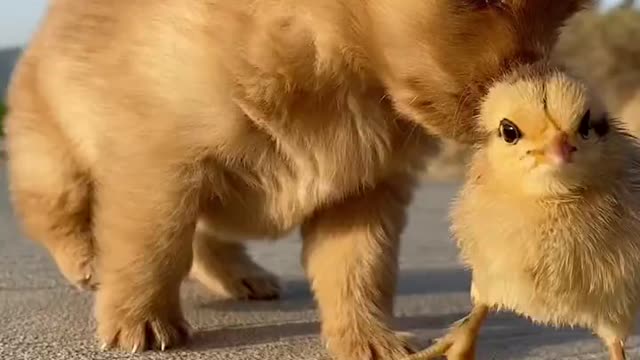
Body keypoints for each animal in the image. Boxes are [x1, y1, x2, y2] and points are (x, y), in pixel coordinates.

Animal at [5, 1, 592, 358]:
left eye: (564, 12)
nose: (530, 95)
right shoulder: (161, 162)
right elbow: (151, 247)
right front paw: (140, 320)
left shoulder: (365, 192)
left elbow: (359, 270)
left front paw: (367, 338)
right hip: (53, 155)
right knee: (56, 211)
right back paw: (85, 259)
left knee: (210, 237)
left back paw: (243, 276)